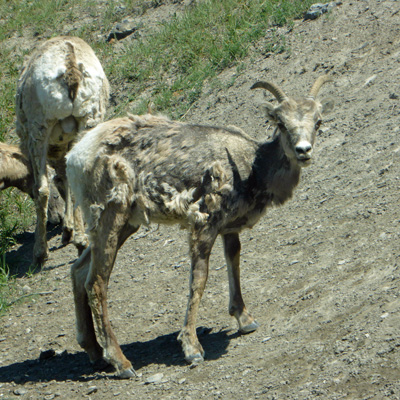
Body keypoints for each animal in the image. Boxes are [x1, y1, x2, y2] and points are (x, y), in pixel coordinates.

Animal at [15, 35, 109, 266]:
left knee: (42, 189)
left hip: (39, 129)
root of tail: (71, 67)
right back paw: (82, 241)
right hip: (88, 122)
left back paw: (40, 253)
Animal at [66, 75, 334, 378]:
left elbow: (234, 260)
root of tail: (74, 157)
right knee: (96, 283)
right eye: (280, 122)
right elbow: (200, 278)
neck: (251, 168)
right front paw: (192, 349)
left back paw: (95, 354)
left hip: (123, 225)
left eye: (318, 122)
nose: (303, 151)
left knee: (78, 271)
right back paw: (121, 363)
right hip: (111, 216)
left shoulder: (229, 228)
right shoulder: (204, 224)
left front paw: (245, 320)